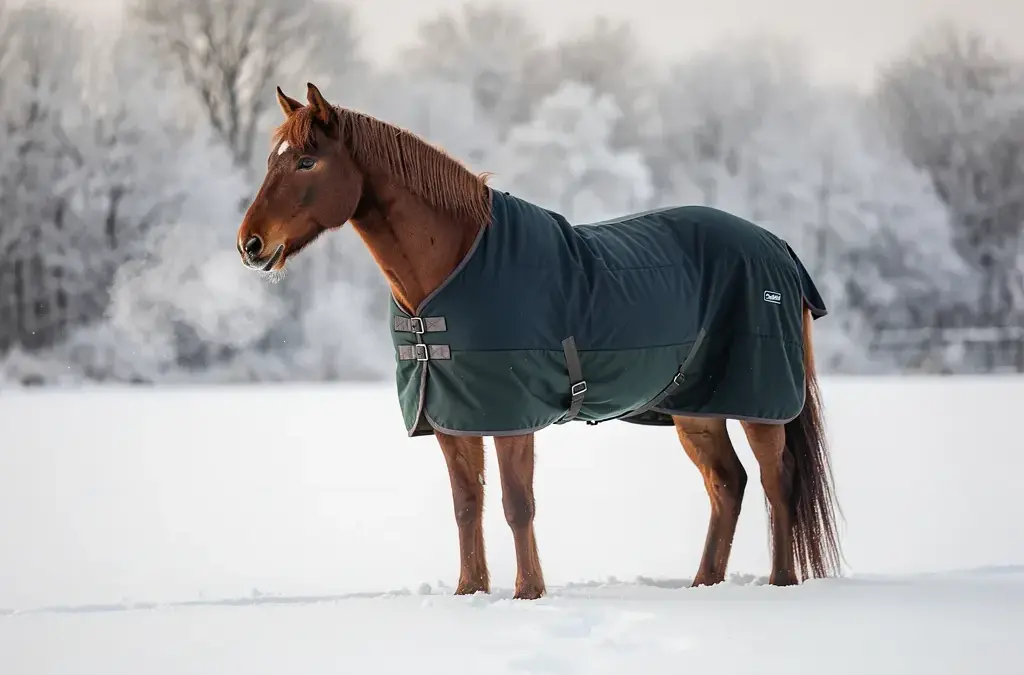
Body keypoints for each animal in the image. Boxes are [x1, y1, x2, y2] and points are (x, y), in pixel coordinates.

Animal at [235, 82, 842, 600]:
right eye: (272, 160)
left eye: (307, 161)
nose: (250, 243)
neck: (454, 266)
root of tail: (778, 247)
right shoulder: (453, 417)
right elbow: (467, 504)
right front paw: (470, 592)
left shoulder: (512, 416)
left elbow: (516, 503)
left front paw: (528, 593)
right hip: (698, 407)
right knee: (728, 483)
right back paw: (704, 586)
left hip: (759, 400)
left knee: (777, 482)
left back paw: (781, 584)